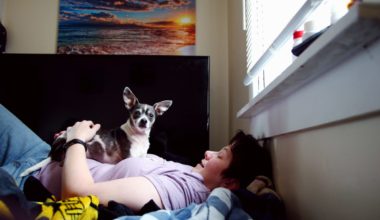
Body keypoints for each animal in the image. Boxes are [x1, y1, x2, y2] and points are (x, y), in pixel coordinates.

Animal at [20, 87, 172, 176]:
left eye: (151, 116)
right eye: (136, 114)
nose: (143, 121)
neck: (139, 137)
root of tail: (52, 152)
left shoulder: (141, 154)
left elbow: (146, 157)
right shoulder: (130, 157)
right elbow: (143, 160)